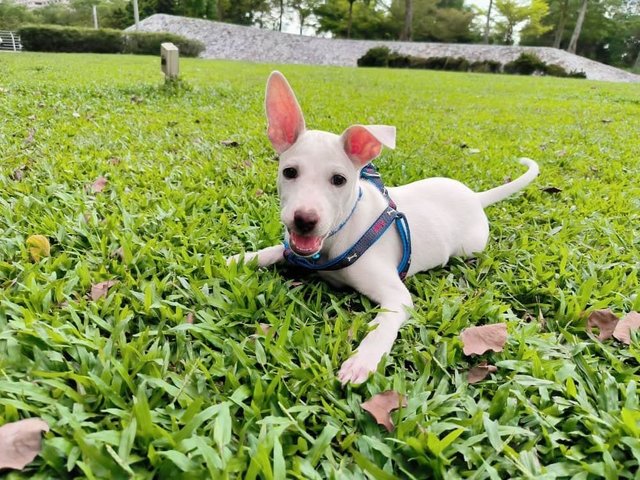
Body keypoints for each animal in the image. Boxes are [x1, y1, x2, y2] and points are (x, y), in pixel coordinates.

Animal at [228, 72, 536, 386]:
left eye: (339, 180)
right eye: (289, 172)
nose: (304, 220)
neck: (340, 236)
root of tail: (475, 197)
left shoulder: (398, 297)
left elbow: (382, 325)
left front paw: (362, 361)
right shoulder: (297, 249)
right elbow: (276, 250)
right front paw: (240, 258)